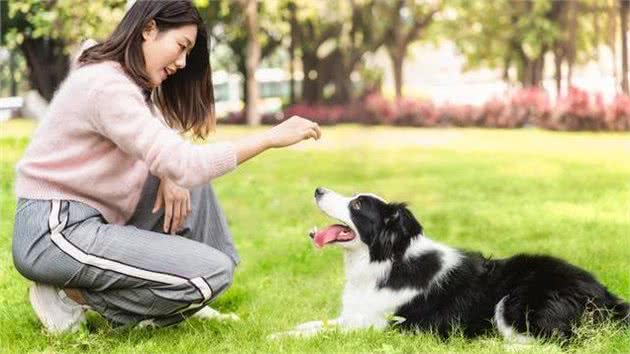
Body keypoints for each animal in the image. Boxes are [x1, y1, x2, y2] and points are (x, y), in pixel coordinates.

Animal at [276, 187, 630, 342]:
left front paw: (282, 338)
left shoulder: (380, 325)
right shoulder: (356, 315)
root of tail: (606, 296)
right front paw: (282, 331)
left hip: (514, 302)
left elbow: (323, 331)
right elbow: (316, 323)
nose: (318, 189)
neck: (386, 260)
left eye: (358, 205)